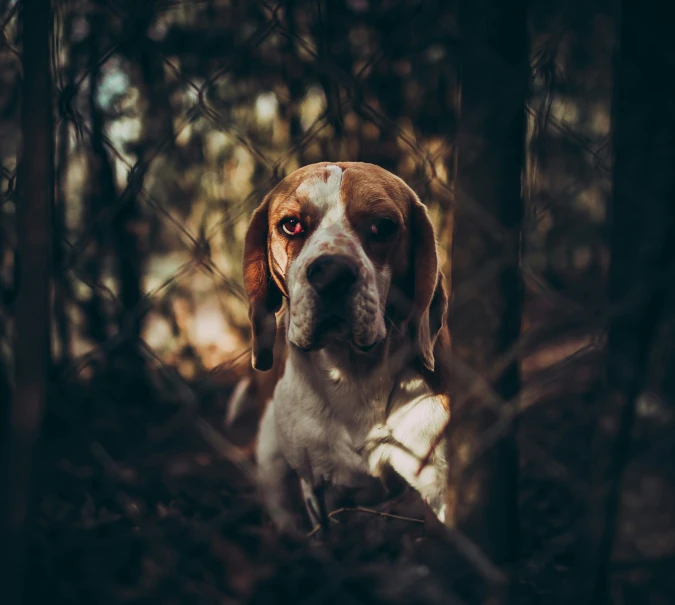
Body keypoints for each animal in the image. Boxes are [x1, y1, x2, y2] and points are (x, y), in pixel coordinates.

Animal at [240, 162, 452, 532]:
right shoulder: (320, 491)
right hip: (272, 469)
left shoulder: (435, 487)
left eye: (383, 226)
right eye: (291, 224)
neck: (354, 378)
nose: (331, 273)